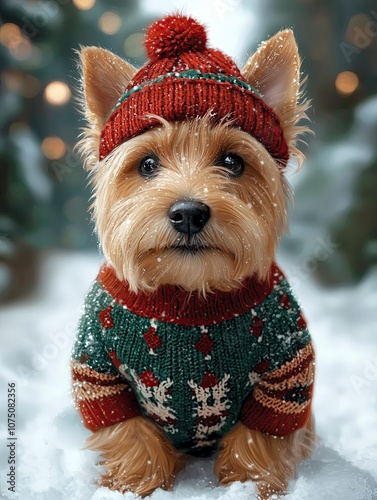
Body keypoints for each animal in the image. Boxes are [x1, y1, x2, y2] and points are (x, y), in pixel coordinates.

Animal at [70, 13, 314, 498]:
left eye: (233, 162)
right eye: (146, 164)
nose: (187, 212)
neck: (188, 293)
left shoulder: (287, 370)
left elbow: (260, 434)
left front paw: (249, 483)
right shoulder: (97, 371)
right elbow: (131, 433)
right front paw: (135, 483)